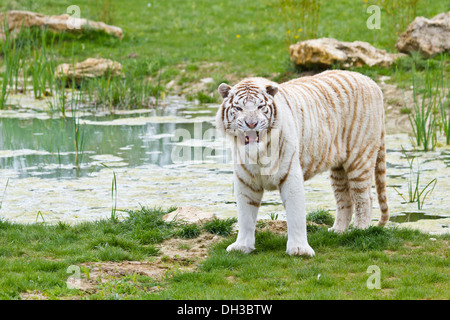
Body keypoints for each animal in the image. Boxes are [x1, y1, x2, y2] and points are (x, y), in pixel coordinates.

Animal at [216, 70, 388, 258]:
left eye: (260, 107)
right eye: (239, 108)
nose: (251, 124)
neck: (259, 154)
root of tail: (371, 81)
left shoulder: (290, 175)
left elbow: (295, 214)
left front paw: (299, 250)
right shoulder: (246, 181)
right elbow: (245, 216)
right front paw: (242, 246)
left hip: (359, 159)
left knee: (364, 198)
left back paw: (360, 231)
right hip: (338, 169)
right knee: (344, 199)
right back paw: (337, 231)